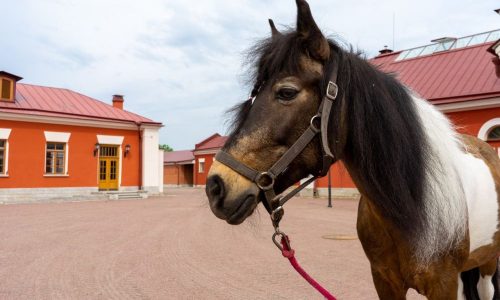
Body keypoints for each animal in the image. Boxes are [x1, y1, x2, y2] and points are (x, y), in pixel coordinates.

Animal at [204, 1, 500, 298]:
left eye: (286, 92)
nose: (215, 186)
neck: (412, 206)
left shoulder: (443, 284)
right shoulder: (384, 281)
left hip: (488, 262)